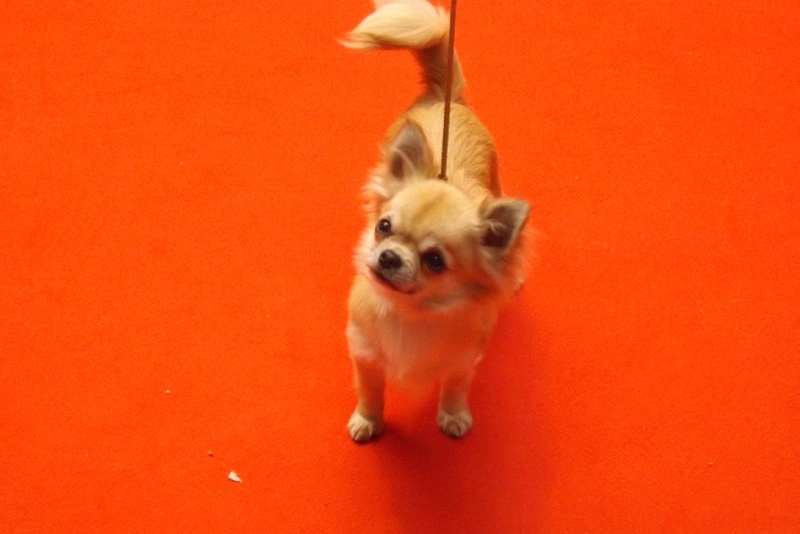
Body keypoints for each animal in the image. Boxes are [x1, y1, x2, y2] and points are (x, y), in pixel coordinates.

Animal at [342, 0, 531, 442]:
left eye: (435, 261)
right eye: (383, 227)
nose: (389, 256)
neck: (413, 313)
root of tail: (448, 97)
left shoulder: (463, 361)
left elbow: (455, 387)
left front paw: (454, 416)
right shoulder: (365, 353)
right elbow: (369, 390)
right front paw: (368, 421)